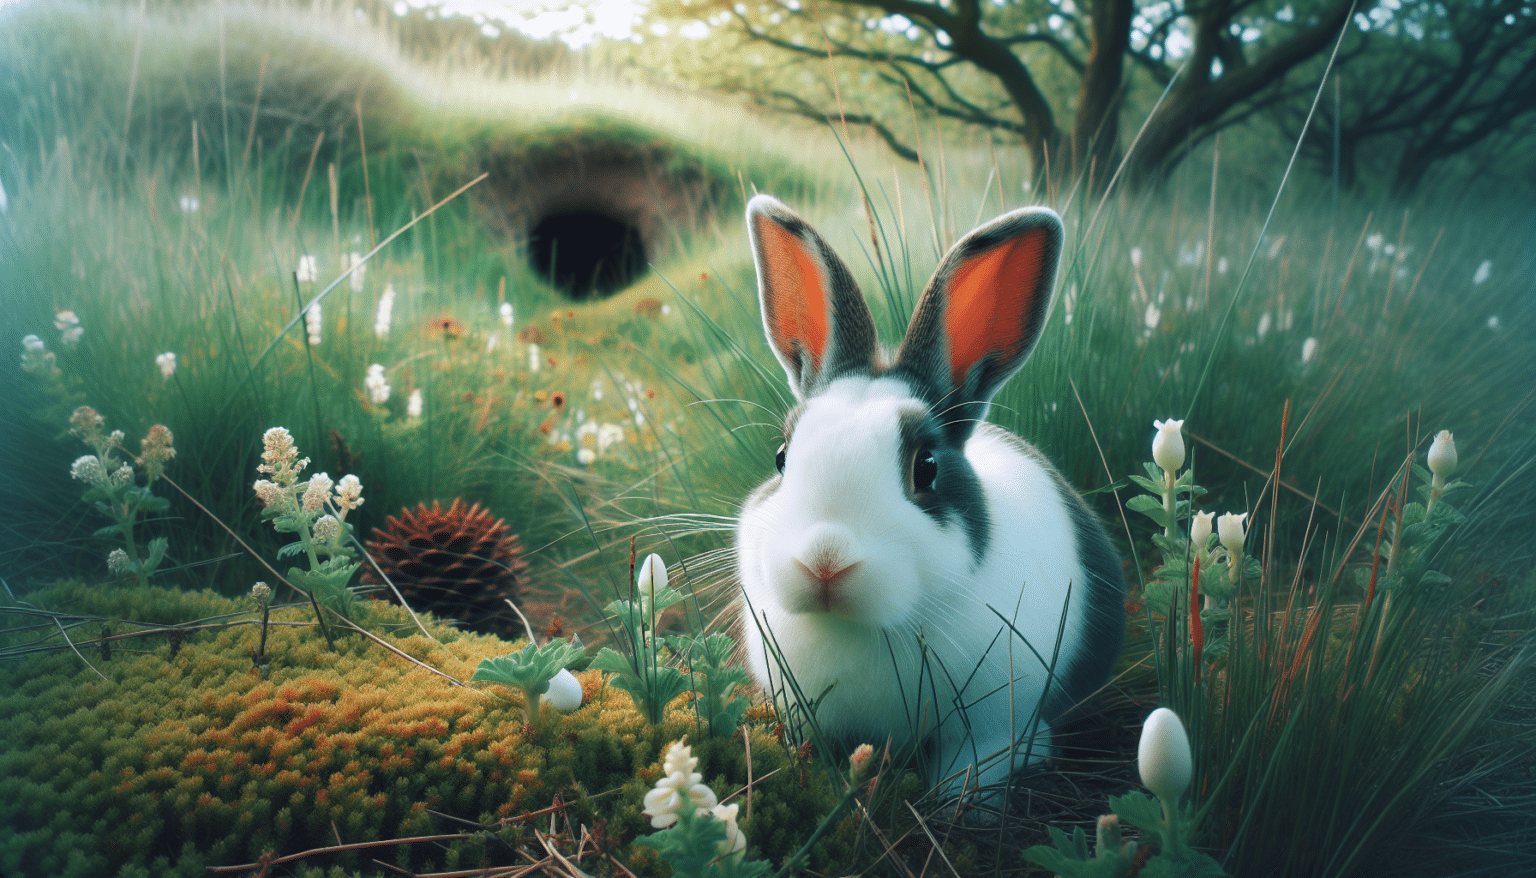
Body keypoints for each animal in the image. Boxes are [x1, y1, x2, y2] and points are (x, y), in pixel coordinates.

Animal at [734, 194, 1124, 801]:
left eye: (927, 467)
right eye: (780, 457)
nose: (824, 560)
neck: (863, 629)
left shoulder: (995, 728)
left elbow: (976, 767)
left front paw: (961, 804)